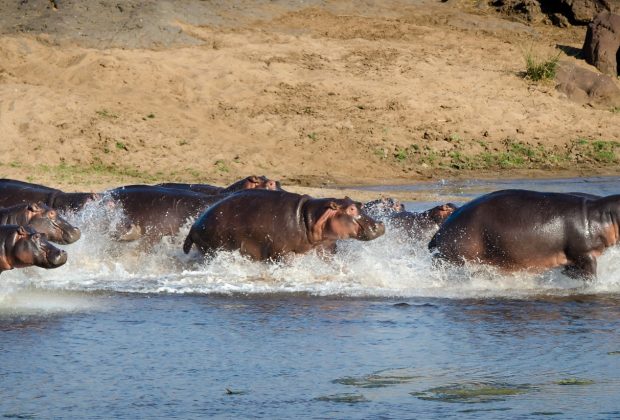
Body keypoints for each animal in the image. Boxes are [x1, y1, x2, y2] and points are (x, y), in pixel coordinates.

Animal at [182, 189, 386, 260]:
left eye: (359, 204)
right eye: (350, 209)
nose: (380, 225)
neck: (309, 217)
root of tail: (193, 226)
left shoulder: (325, 247)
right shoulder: (282, 252)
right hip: (213, 248)